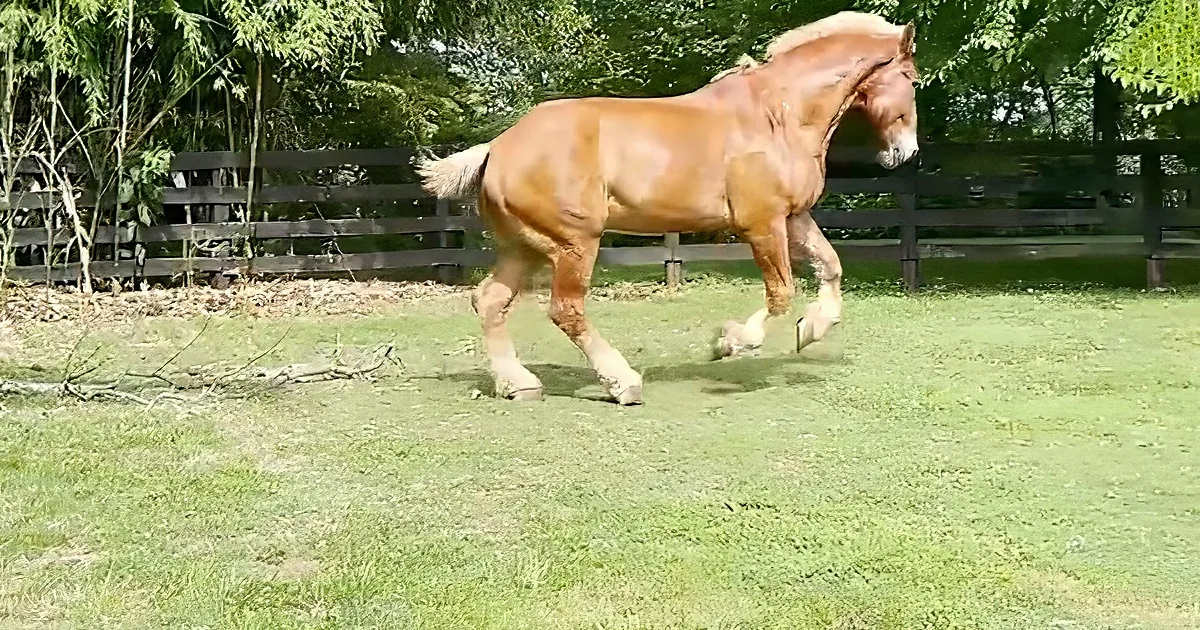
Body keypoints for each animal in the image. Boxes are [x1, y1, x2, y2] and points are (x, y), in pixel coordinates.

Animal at [417, 11, 920, 406]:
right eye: (913, 81)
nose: (906, 152)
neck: (779, 115)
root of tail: (497, 148)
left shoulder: (794, 217)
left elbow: (830, 267)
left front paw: (811, 329)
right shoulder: (762, 224)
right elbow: (781, 295)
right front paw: (729, 342)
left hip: (524, 246)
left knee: (490, 300)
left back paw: (519, 384)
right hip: (573, 245)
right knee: (565, 311)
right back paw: (622, 383)